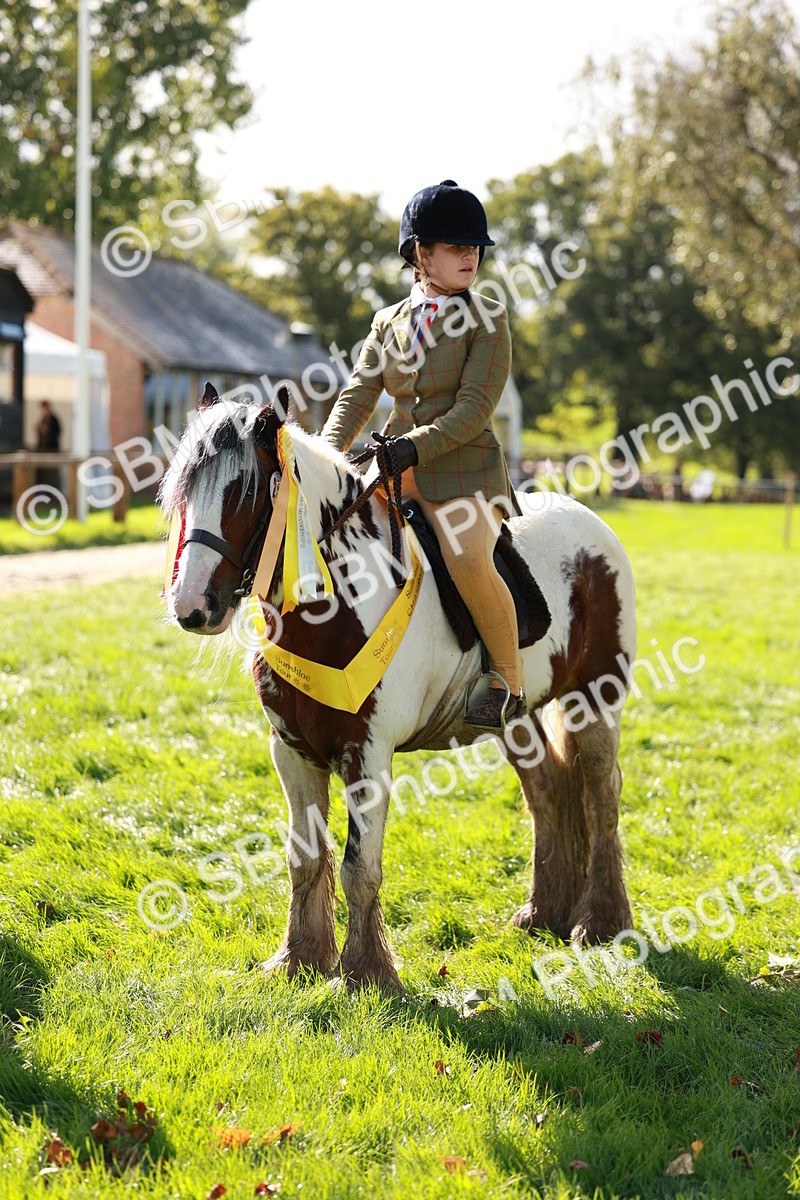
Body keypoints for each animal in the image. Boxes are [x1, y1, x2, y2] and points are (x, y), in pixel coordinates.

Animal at [159, 386, 637, 990]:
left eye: (246, 490)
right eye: (183, 489)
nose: (191, 605)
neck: (336, 606)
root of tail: (590, 525)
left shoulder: (369, 753)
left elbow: (359, 866)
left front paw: (366, 972)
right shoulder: (291, 752)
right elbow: (304, 858)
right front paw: (299, 958)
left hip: (594, 699)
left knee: (601, 794)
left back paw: (599, 921)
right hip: (517, 717)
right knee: (548, 790)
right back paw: (542, 912)